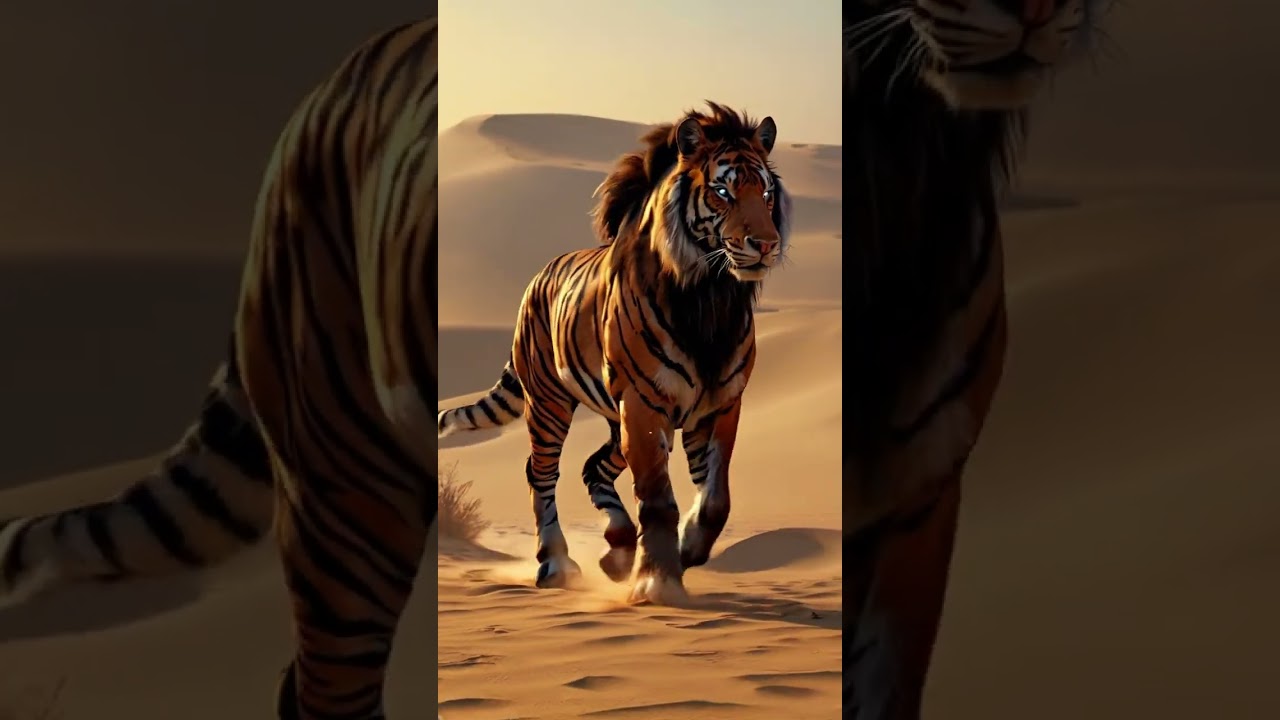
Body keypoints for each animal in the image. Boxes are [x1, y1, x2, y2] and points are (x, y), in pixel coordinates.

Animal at [437, 102, 792, 605]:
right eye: (723, 190)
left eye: (765, 192)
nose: (765, 244)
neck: (710, 299)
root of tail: (536, 278)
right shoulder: (644, 407)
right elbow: (658, 499)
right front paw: (657, 582)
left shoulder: (720, 406)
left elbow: (715, 501)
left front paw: (685, 550)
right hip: (550, 404)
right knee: (540, 474)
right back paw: (556, 563)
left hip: (614, 418)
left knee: (593, 466)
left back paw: (618, 549)